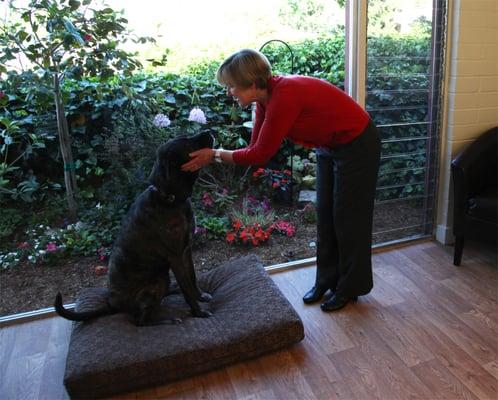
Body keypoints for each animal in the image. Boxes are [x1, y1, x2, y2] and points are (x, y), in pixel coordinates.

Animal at [55, 131, 214, 324]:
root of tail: (112, 305)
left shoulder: (186, 251)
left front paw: (200, 296)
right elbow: (187, 289)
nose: (210, 131)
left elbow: (192, 278)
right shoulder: (176, 257)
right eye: (186, 142)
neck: (170, 198)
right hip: (158, 280)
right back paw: (167, 321)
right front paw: (199, 312)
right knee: (141, 321)